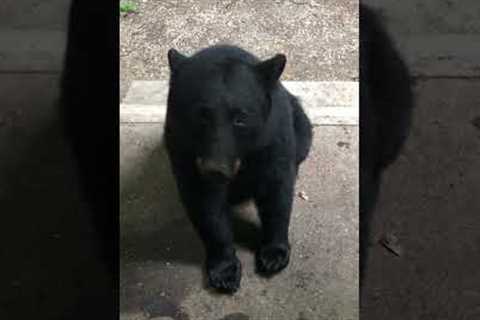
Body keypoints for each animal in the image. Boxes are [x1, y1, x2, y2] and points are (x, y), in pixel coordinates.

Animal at [165, 44, 314, 292]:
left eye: (240, 118)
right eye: (200, 116)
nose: (215, 169)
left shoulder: (273, 139)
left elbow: (277, 192)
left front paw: (274, 254)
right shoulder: (183, 149)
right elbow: (206, 206)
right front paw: (224, 270)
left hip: (300, 126)